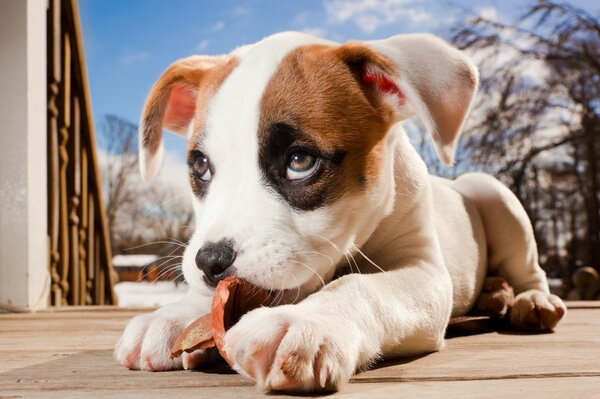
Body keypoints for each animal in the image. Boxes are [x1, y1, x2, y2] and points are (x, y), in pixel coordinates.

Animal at [113, 32, 568, 394]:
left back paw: (533, 301)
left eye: (300, 161)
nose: (210, 262)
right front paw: (174, 315)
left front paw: (302, 321)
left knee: (530, 269)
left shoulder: (425, 275)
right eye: (201, 167)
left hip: (494, 194)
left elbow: (360, 286)